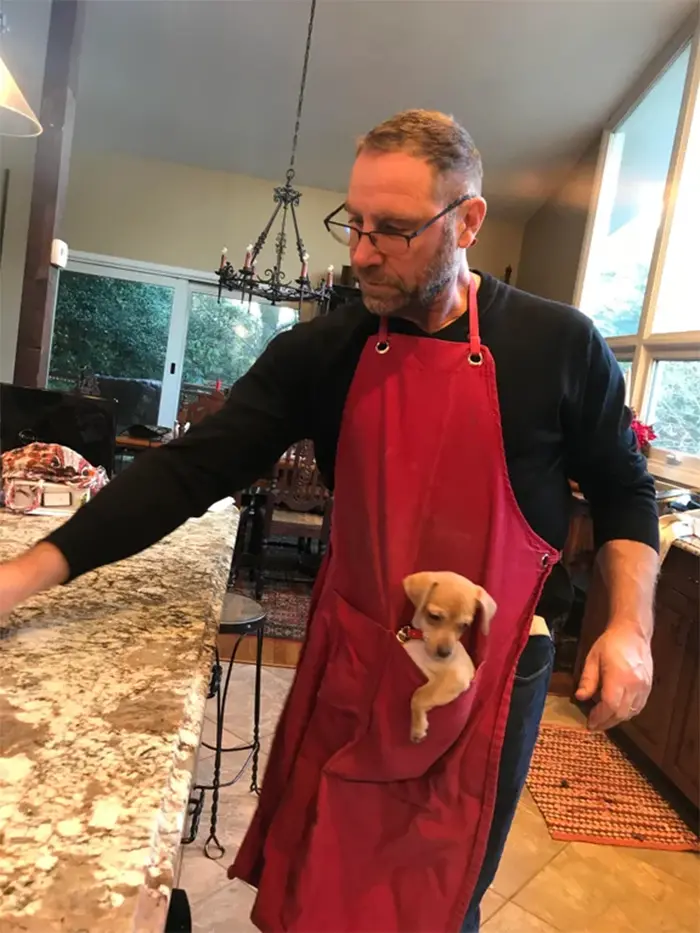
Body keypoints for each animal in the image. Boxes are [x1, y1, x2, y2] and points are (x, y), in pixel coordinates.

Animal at [402, 568, 494, 744]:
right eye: (434, 616)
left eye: (465, 626)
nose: (445, 653)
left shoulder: (455, 677)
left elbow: (419, 694)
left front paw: (417, 728)